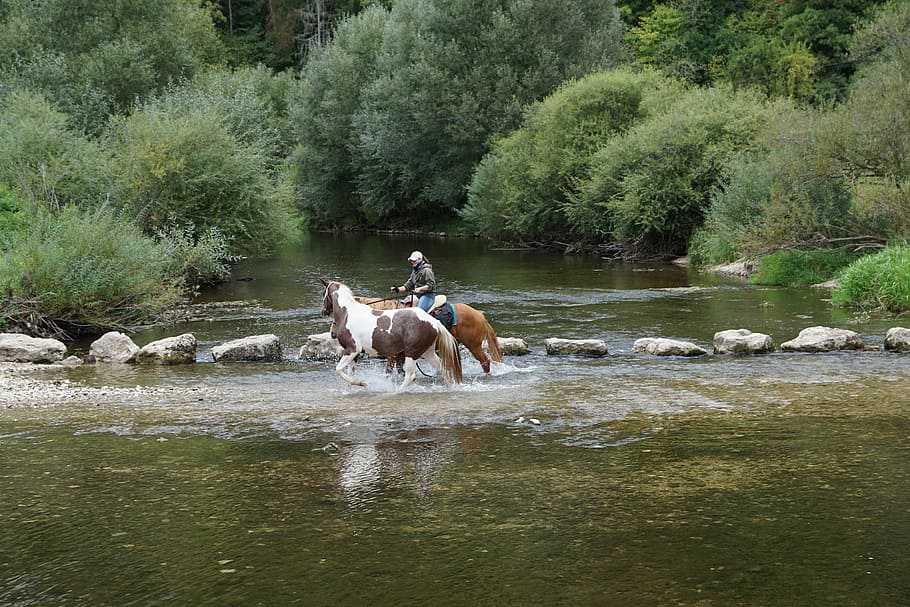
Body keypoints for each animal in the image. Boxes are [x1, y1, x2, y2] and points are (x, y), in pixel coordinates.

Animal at [320, 280, 463, 391]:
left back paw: (397, 391)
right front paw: (350, 390)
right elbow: (350, 374)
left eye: (323, 293)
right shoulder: (355, 354)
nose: (323, 311)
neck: (348, 313)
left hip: (412, 353)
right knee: (443, 368)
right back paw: (450, 387)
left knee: (411, 376)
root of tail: (434, 322)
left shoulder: (352, 350)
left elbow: (339, 369)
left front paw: (362, 383)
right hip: (427, 352)